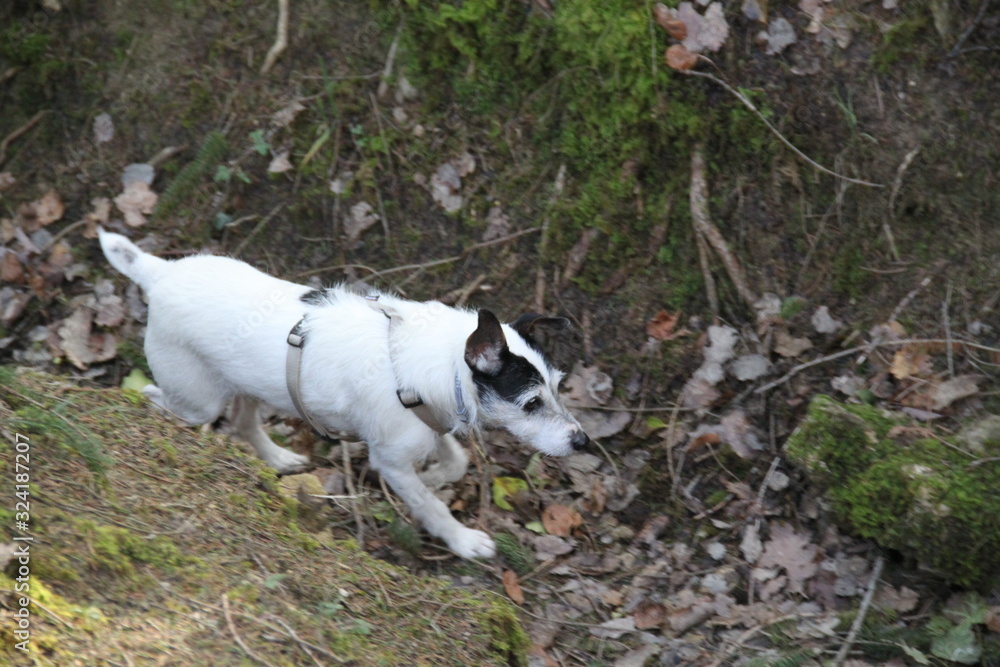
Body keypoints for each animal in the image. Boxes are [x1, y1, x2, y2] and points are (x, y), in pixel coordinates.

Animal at [99, 230, 584, 560]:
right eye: (531, 404)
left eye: (559, 386)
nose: (582, 441)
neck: (437, 365)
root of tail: (160, 274)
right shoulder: (391, 456)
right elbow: (429, 507)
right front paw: (461, 539)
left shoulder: (429, 425)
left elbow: (455, 461)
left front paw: (433, 478)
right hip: (197, 400)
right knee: (155, 396)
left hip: (248, 382)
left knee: (241, 422)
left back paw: (279, 459)